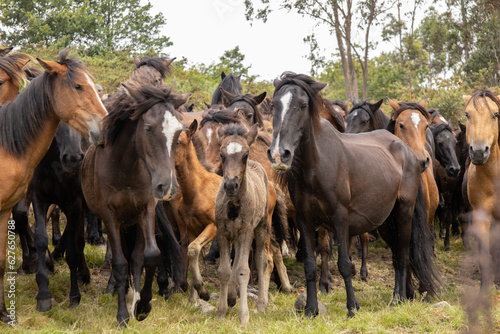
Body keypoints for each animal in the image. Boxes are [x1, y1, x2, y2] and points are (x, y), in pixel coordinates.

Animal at [80, 81, 189, 326]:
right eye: (148, 128)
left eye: (178, 133)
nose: (167, 187)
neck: (125, 169)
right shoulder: (110, 217)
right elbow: (120, 263)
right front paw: (122, 315)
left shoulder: (145, 211)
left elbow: (149, 256)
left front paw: (142, 306)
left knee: (138, 258)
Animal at [216, 123, 276, 324]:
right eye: (221, 154)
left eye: (245, 154)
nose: (230, 184)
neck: (234, 204)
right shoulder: (222, 232)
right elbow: (225, 270)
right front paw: (221, 310)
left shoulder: (246, 232)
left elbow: (243, 270)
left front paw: (244, 316)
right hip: (235, 234)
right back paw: (231, 297)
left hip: (262, 226)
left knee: (263, 260)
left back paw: (261, 304)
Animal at [266, 72, 438, 318]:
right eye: (274, 105)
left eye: (303, 105)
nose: (280, 154)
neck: (316, 167)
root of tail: (410, 153)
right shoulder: (304, 220)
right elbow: (310, 265)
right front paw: (310, 310)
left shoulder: (340, 219)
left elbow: (344, 265)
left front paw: (351, 308)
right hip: (386, 222)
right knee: (396, 255)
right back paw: (398, 296)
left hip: (404, 212)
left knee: (404, 254)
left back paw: (399, 298)